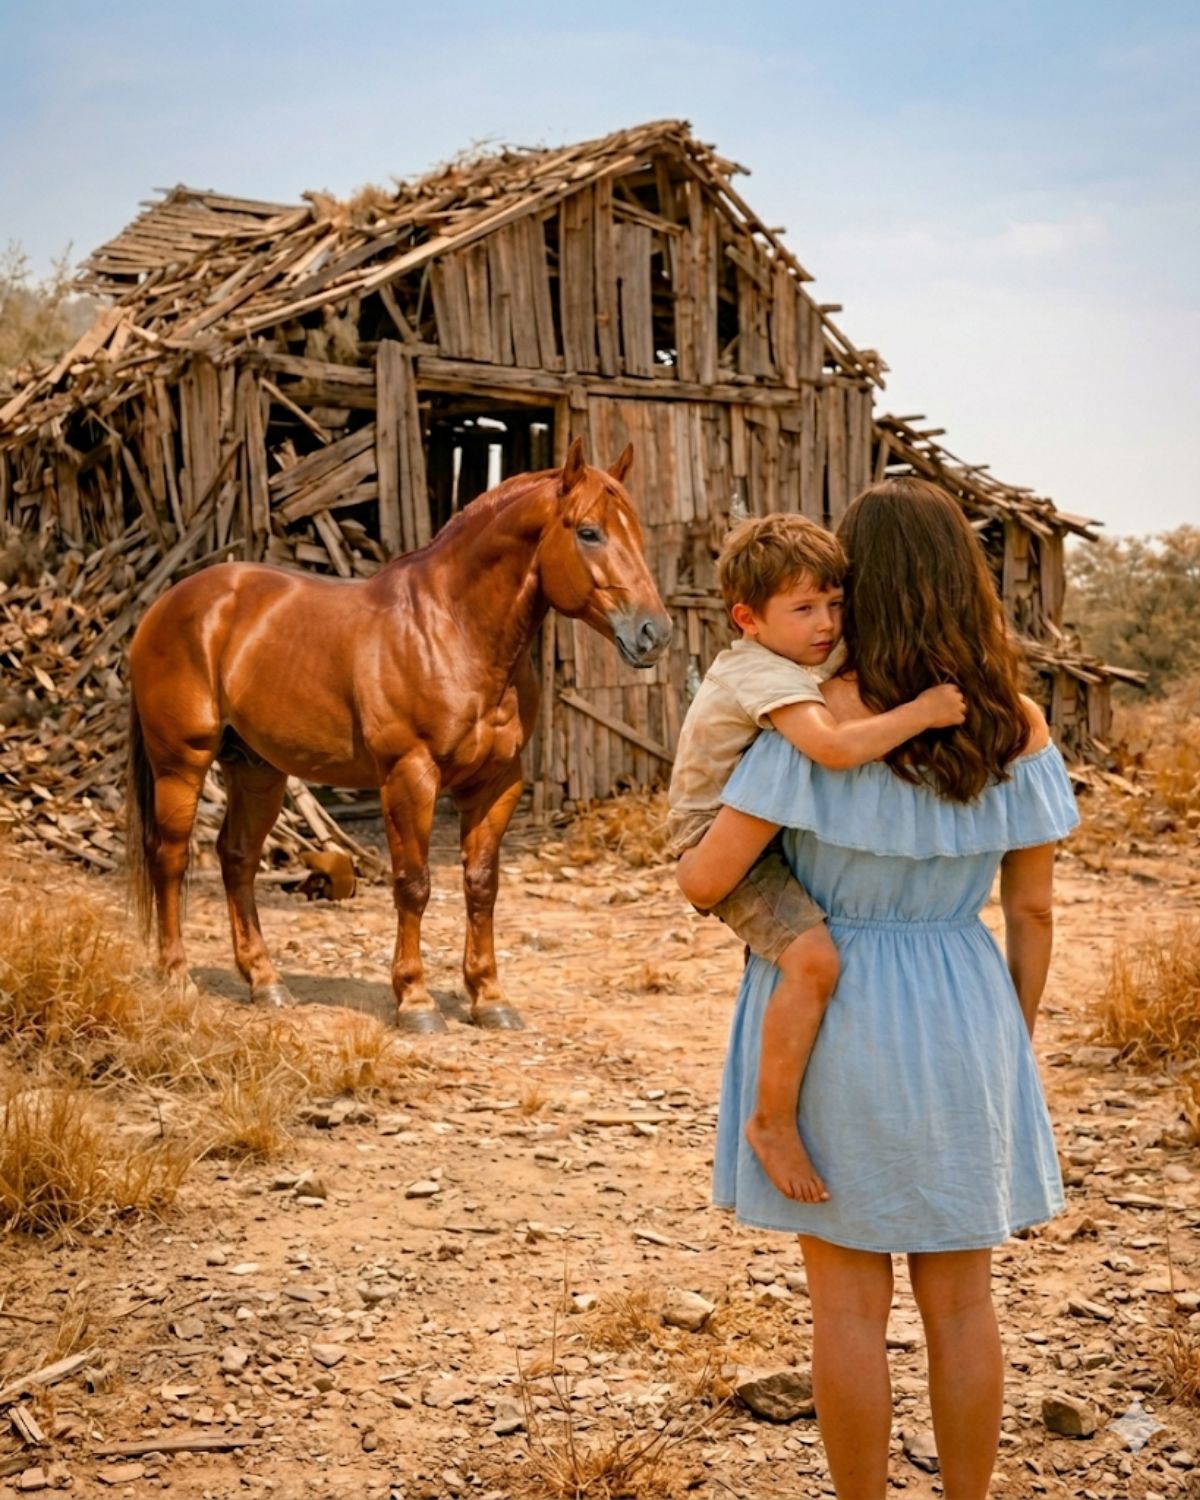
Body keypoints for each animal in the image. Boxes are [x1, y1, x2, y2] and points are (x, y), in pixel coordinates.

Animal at [125, 438, 672, 1033]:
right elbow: (414, 884)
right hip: (182, 762)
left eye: (637, 534)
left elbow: (482, 884)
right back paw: (177, 977)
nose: (655, 633)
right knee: (171, 857)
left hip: (255, 768)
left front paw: (490, 997)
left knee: (238, 857)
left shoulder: (498, 782)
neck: (454, 630)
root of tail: (167, 605)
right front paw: (416, 1001)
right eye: (589, 532)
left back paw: (265, 982)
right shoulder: (410, 776)